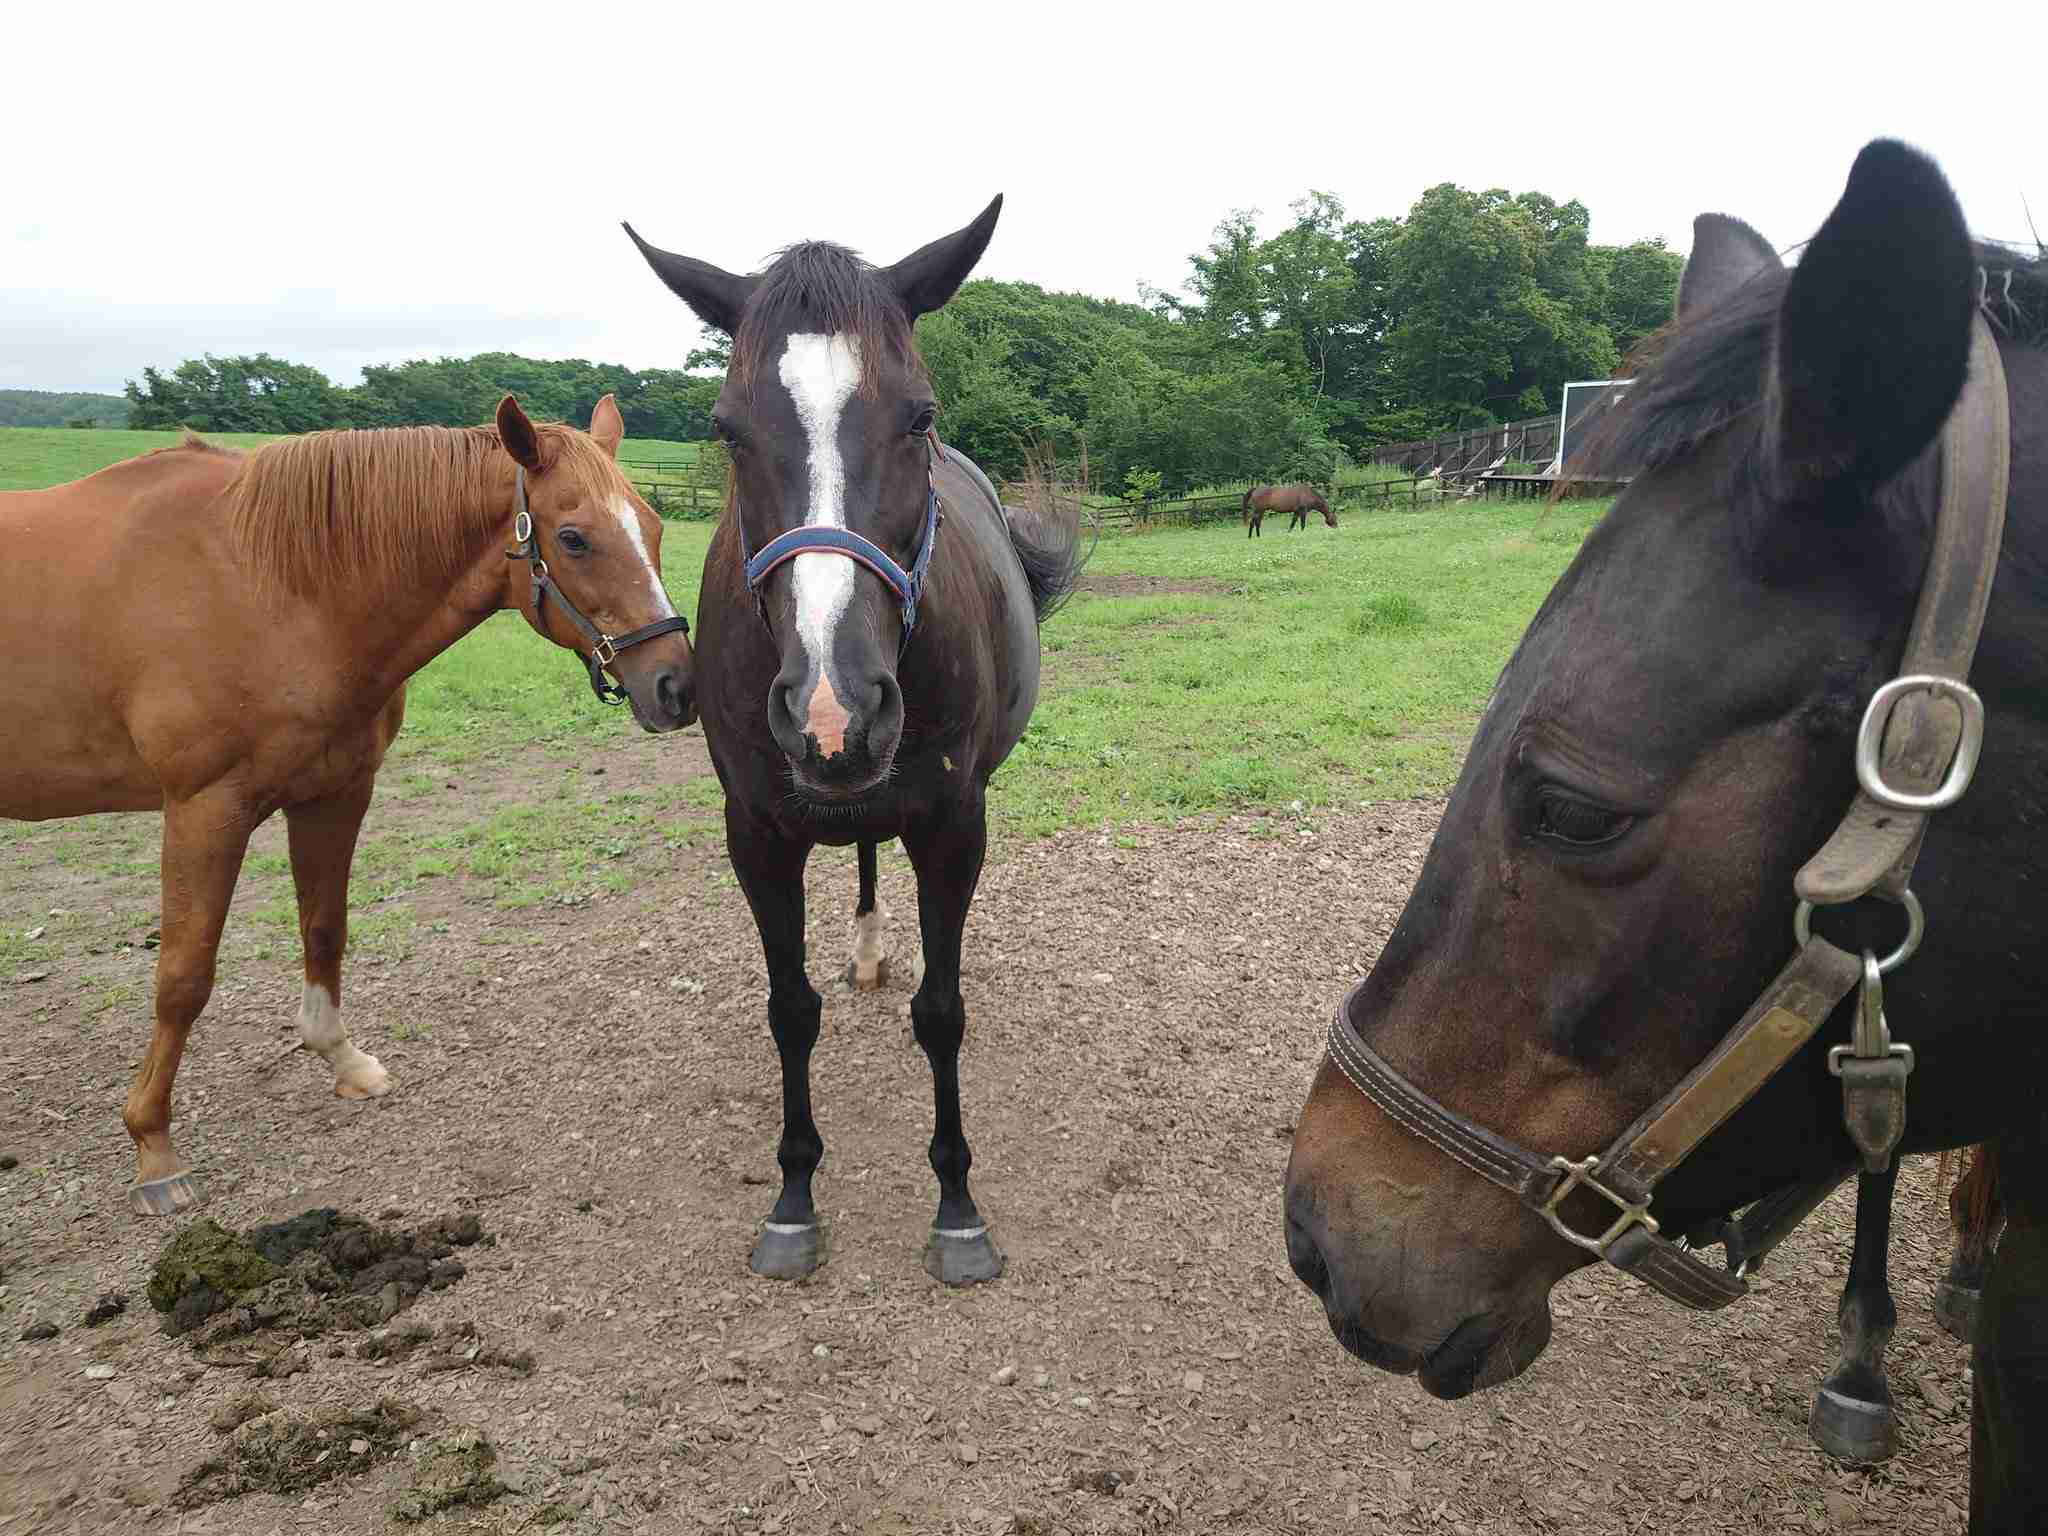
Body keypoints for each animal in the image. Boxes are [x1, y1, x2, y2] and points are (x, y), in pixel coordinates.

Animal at [0, 396, 694, 1215]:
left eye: (652, 526)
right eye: (574, 538)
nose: (677, 688)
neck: (277, 586)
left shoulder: (333, 794)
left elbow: (325, 930)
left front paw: (343, 1059)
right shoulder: (205, 809)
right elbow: (182, 978)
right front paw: (154, 1148)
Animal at [624, 198, 1083, 1286]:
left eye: (918, 416)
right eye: (726, 429)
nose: (834, 711)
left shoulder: (953, 825)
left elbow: (941, 1011)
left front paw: (956, 1207)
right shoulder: (756, 835)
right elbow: (788, 1010)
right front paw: (793, 1198)